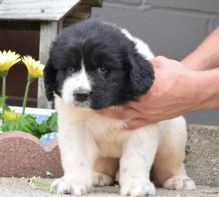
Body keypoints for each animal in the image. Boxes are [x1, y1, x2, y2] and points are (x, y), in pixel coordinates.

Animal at [44, 19, 195, 195]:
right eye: (69, 68)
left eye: (102, 68)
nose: (81, 94)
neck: (108, 105)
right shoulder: (74, 125)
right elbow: (76, 155)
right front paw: (72, 181)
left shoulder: (142, 125)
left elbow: (136, 158)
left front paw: (136, 184)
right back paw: (98, 175)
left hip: (174, 136)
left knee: (171, 163)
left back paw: (178, 179)